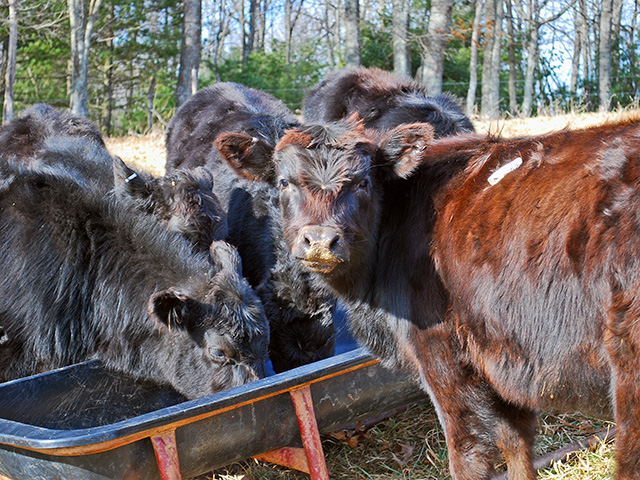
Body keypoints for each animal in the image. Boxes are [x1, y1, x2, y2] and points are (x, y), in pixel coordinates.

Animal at [221, 114, 640, 478]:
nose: (321, 241)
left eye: (363, 182)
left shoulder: (444, 358)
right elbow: (516, 443)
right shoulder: (502, 360)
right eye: (284, 181)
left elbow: (468, 453)